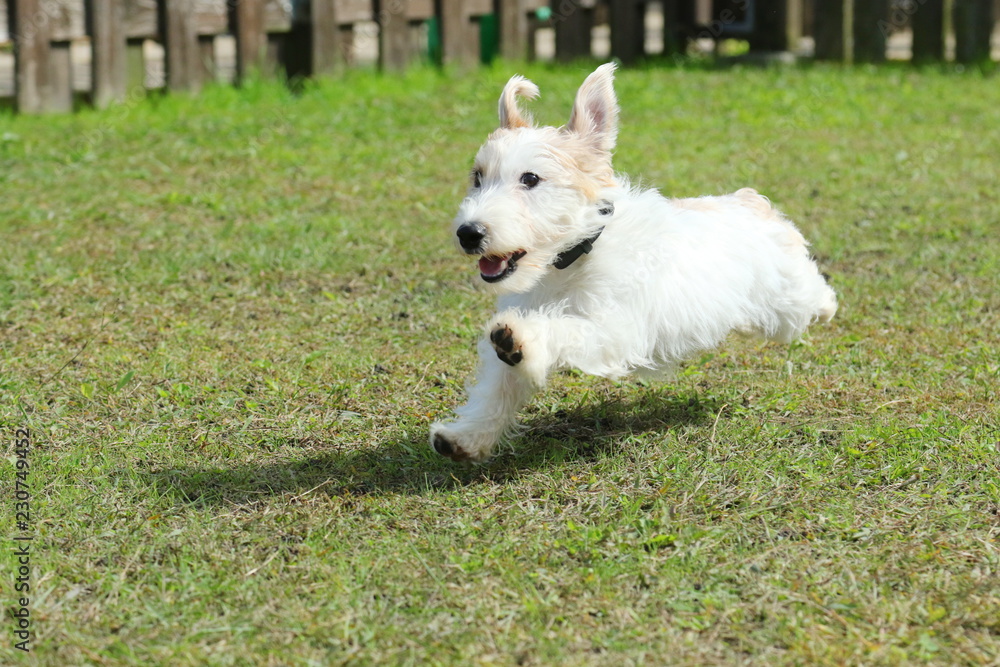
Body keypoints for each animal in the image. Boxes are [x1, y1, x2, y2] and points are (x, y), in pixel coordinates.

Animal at [430, 65, 836, 464]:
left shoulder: (614, 327)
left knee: (812, 295)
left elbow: (563, 328)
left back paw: (826, 305)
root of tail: (749, 201)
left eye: (530, 178)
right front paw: (467, 437)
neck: (573, 258)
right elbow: (497, 387)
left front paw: (522, 338)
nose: (468, 233)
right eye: (478, 177)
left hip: (786, 303)